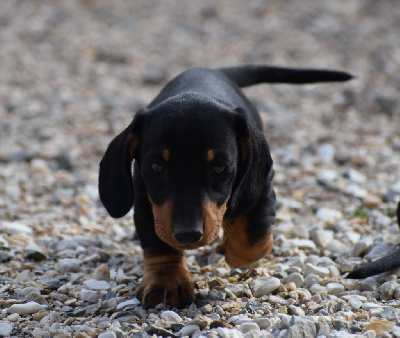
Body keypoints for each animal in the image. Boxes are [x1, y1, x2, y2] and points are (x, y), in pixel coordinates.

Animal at [98, 64, 352, 308]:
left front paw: (233, 246)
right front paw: (166, 282)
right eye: (157, 166)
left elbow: (252, 241)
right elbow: (159, 244)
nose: (188, 234)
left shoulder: (261, 189)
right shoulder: (146, 200)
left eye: (219, 167)